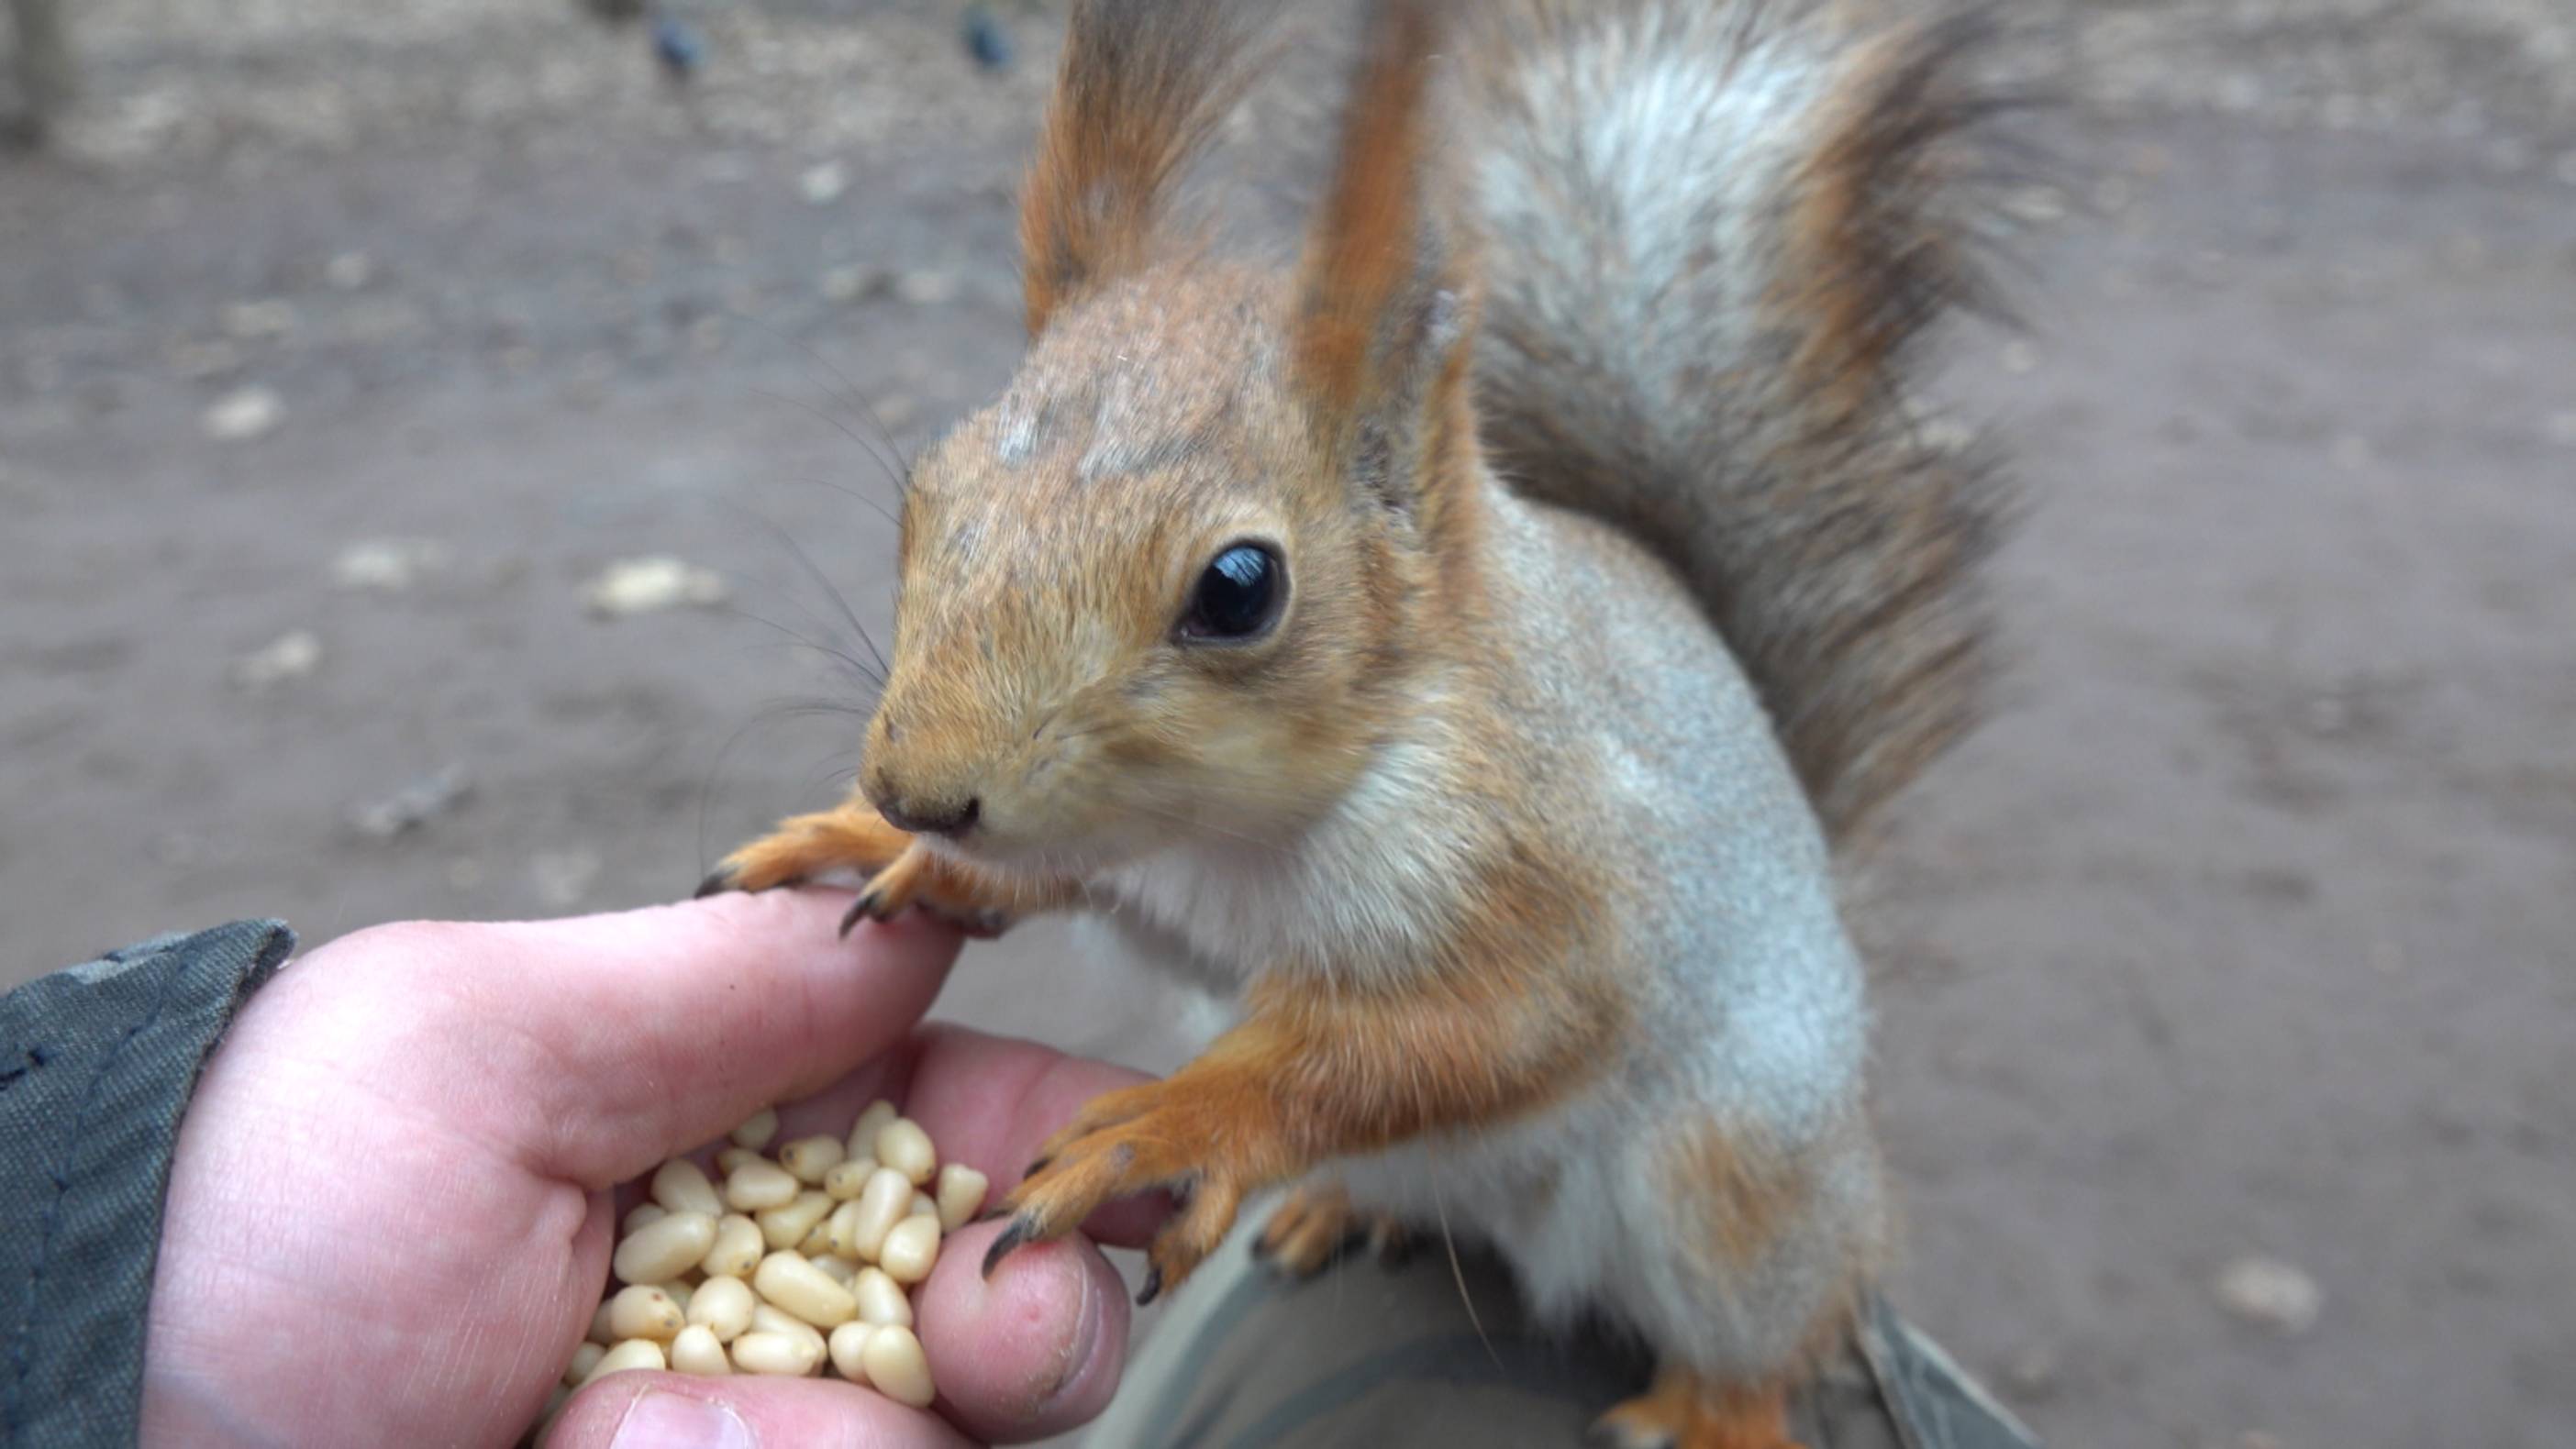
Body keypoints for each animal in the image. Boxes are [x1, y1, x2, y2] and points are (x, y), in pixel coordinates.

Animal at [700, 0, 1988, 1441]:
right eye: (925, 492)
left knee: (1781, 1321)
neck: (1216, 830)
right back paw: (1339, 1206)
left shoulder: (1545, 885)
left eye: (1239, 587)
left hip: (1740, 1187)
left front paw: (1175, 1127)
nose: (920, 791)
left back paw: (1712, 1406)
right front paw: (887, 850)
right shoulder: (1144, 880)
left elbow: (1458, 1040)